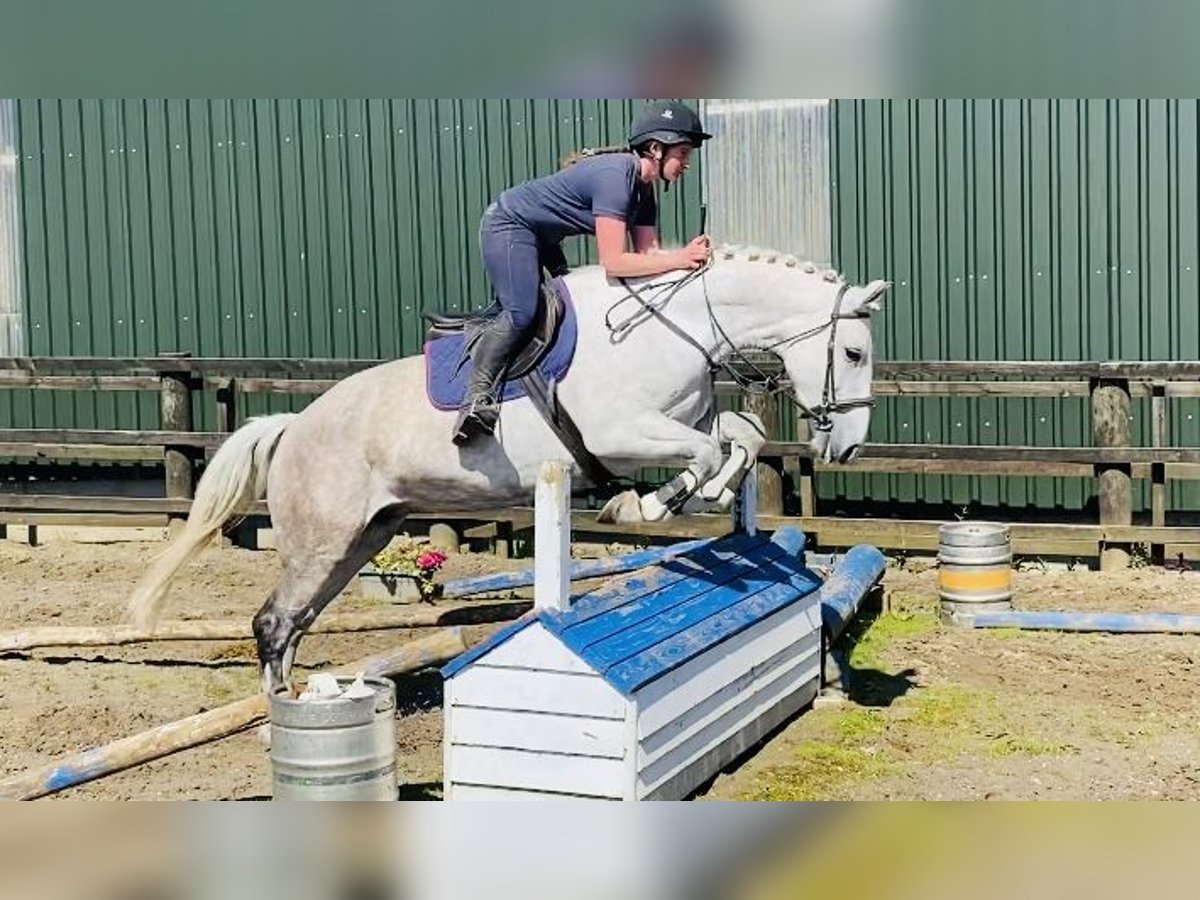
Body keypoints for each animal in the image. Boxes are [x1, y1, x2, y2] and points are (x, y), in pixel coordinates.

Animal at [129, 247, 892, 691]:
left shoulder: (686, 421)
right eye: (854, 353)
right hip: (323, 539)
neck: (676, 330)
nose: (849, 448)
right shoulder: (622, 435)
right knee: (273, 622)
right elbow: (708, 454)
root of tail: (293, 426)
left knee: (293, 622)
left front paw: (694, 501)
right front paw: (645, 507)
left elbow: (742, 436)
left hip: (362, 538)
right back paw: (280, 725)